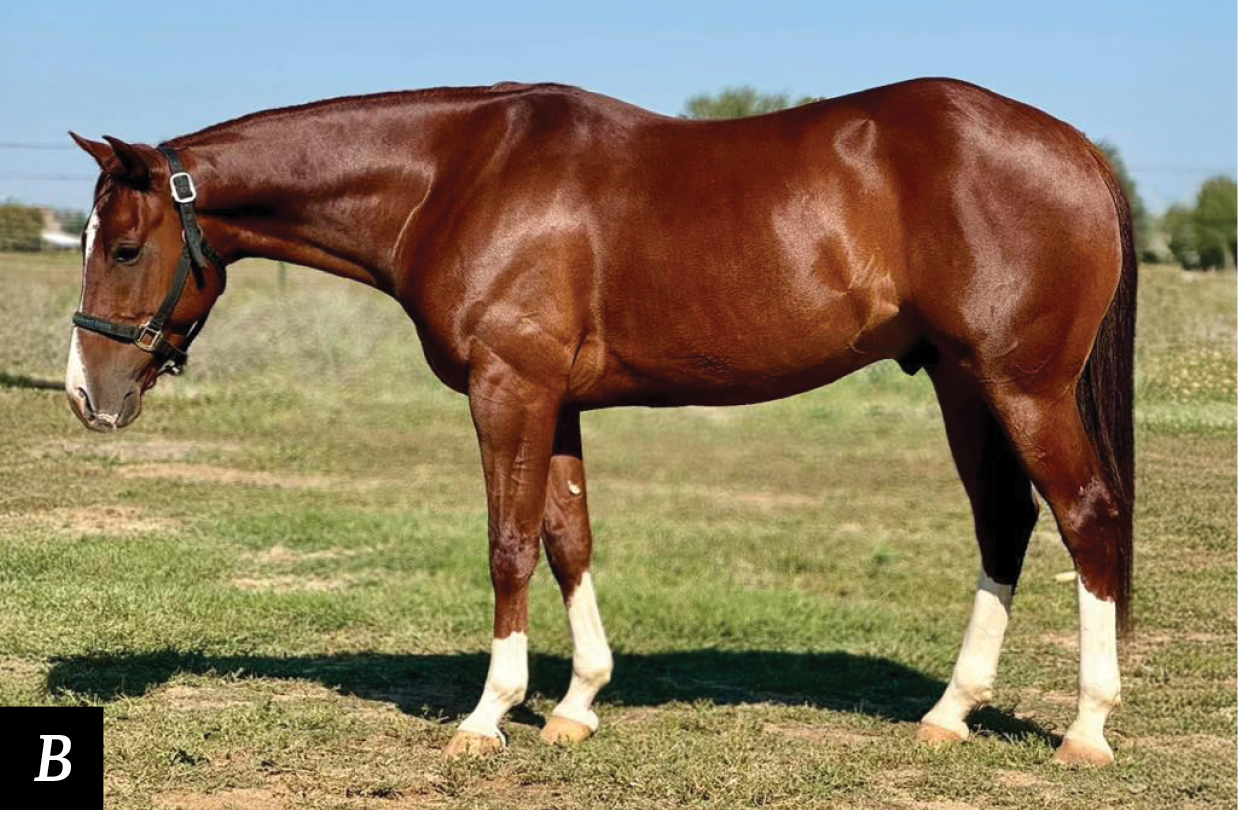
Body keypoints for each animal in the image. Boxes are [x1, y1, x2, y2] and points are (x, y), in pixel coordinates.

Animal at [65, 77, 1135, 765]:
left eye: (124, 249)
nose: (86, 395)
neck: (455, 175)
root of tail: (1077, 148)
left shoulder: (510, 391)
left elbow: (508, 545)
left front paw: (487, 717)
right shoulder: (558, 403)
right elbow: (567, 538)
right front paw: (576, 704)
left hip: (1022, 385)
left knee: (1085, 516)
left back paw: (1087, 729)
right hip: (962, 383)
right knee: (1006, 522)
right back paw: (951, 712)